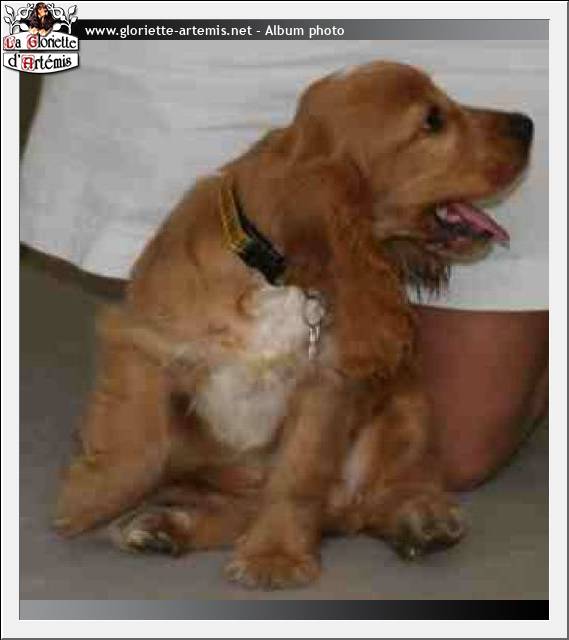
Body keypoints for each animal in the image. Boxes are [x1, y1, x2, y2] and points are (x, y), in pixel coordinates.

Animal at [54, 61, 533, 589]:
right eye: (432, 121)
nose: (527, 124)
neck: (273, 275)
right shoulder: (142, 339)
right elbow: (137, 443)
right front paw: (88, 497)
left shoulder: (326, 383)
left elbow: (297, 477)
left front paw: (276, 556)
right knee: (246, 503)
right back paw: (166, 525)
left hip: (406, 409)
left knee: (374, 497)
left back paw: (422, 520)